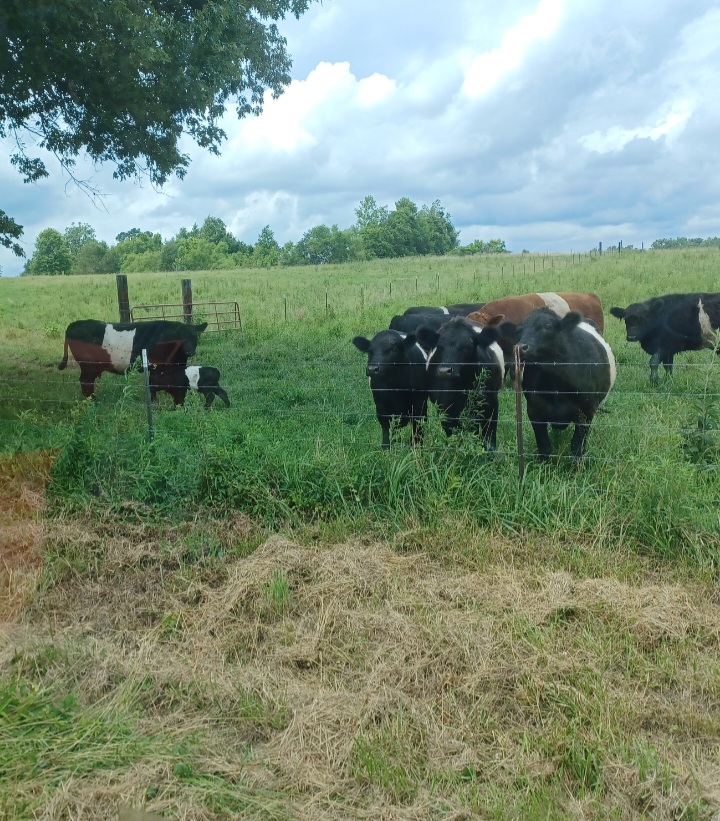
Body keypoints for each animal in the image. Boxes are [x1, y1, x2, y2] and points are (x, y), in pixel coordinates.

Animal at [58, 319, 208, 398]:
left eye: (195, 336)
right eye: (181, 337)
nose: (190, 351)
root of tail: (74, 324)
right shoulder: (154, 366)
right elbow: (153, 385)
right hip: (88, 366)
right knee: (86, 382)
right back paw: (93, 401)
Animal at [415, 317, 505, 449]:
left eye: (466, 347)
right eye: (439, 347)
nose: (444, 370)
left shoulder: (491, 404)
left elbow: (489, 436)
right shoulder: (445, 408)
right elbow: (454, 435)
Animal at [501, 308, 616, 461]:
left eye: (548, 326)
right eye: (519, 331)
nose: (520, 347)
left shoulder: (587, 413)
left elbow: (577, 446)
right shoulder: (534, 411)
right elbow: (544, 446)